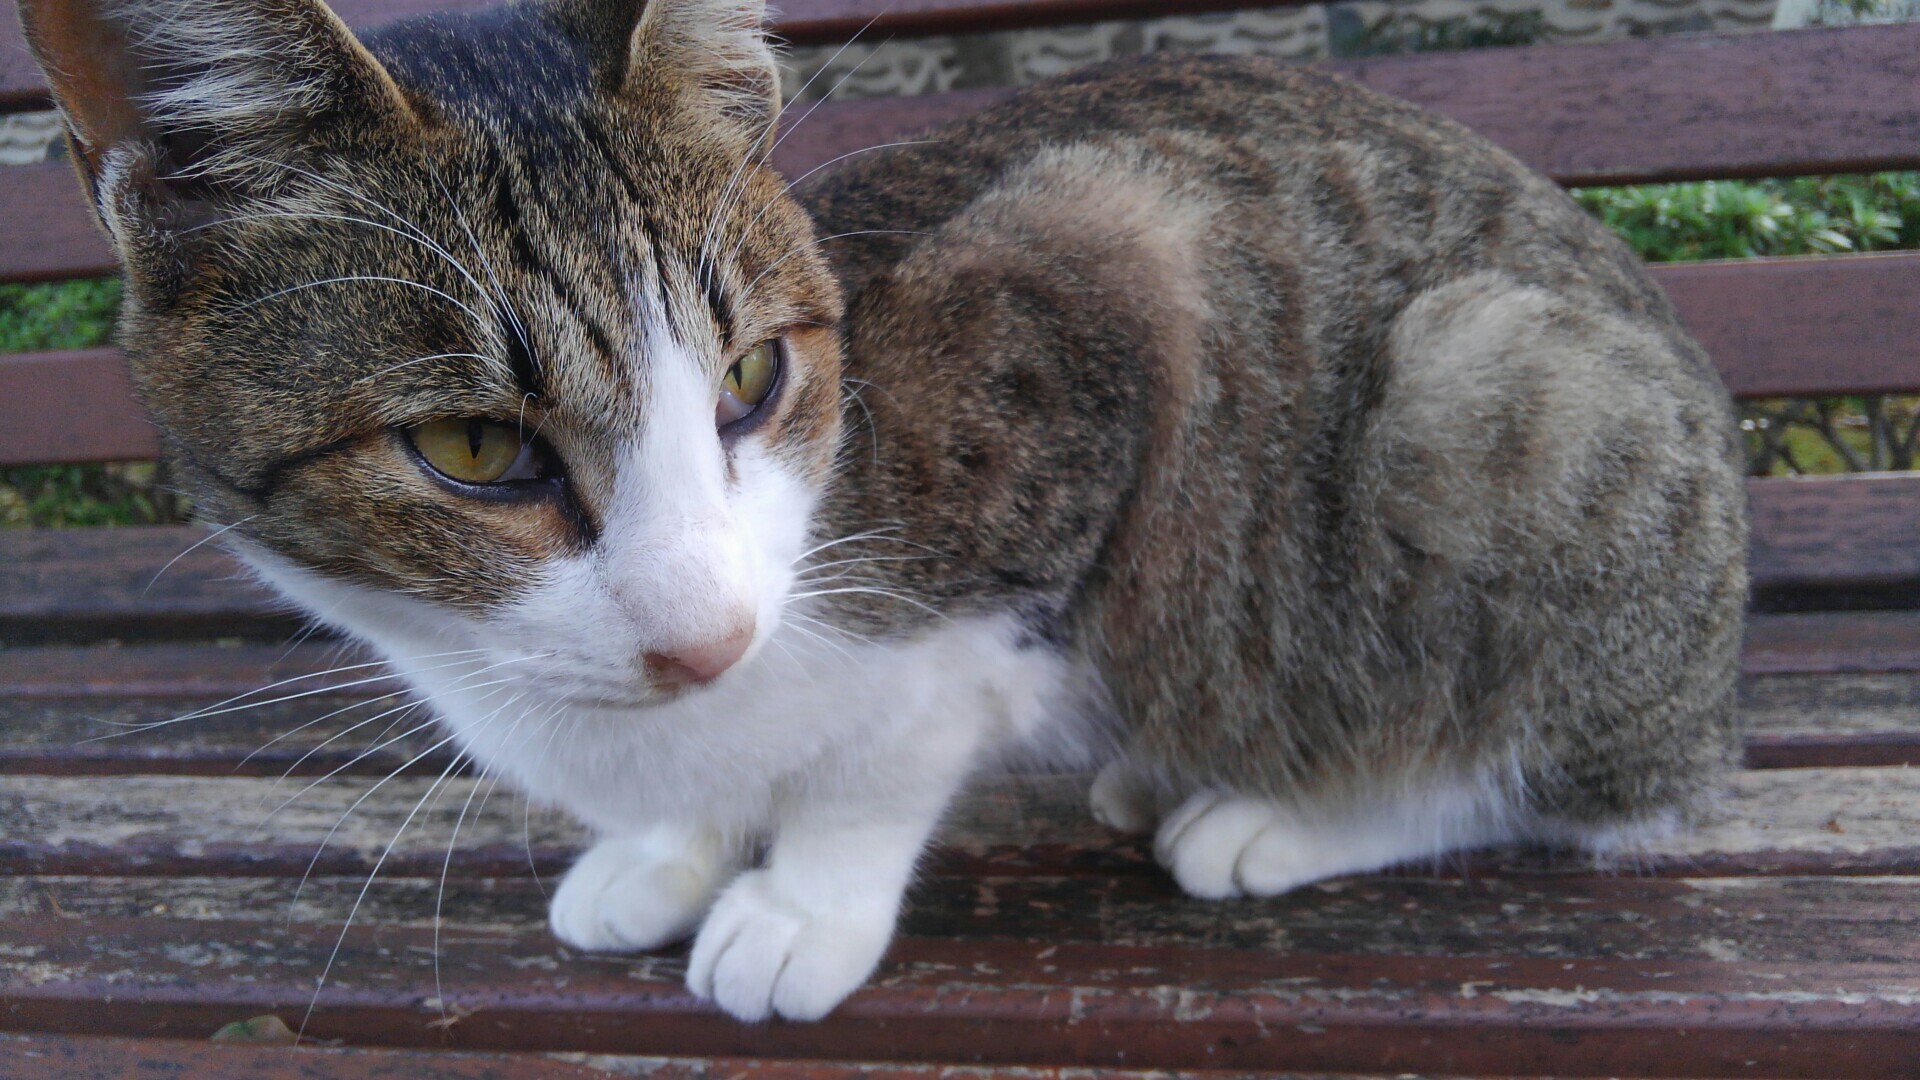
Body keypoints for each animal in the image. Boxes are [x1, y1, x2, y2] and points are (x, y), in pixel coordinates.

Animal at [22, 0, 1751, 1014]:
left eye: (753, 377)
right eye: (469, 447)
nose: (707, 637)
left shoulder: (1104, 282)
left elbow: (897, 738)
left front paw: (803, 902)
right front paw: (668, 848)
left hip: (1508, 404)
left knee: (1568, 780)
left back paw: (1286, 808)